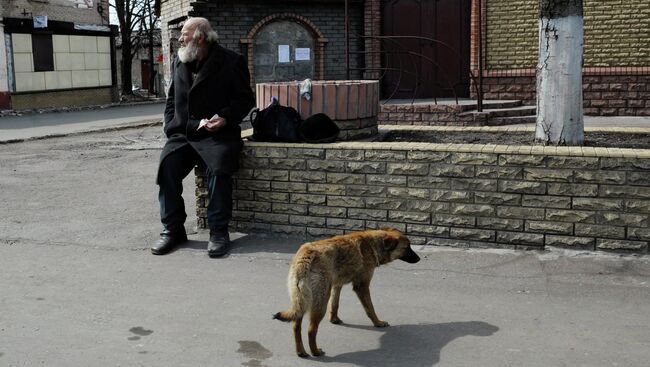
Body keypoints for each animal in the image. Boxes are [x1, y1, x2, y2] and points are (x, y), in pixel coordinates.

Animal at [272, 229, 420, 358]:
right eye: (407, 247)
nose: (419, 259)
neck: (372, 244)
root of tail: (307, 253)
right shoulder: (362, 286)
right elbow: (370, 309)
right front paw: (378, 322)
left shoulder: (337, 286)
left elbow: (335, 305)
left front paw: (334, 320)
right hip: (320, 302)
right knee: (311, 330)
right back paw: (315, 351)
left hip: (302, 299)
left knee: (296, 326)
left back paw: (301, 351)